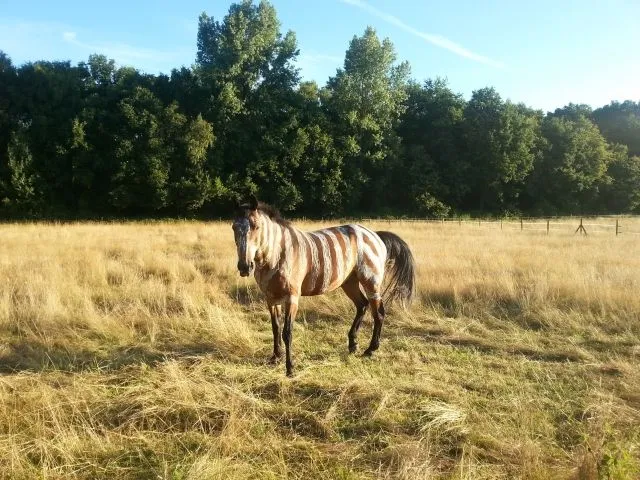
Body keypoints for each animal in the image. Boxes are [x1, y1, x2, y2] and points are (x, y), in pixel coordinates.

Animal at [232, 195, 416, 376]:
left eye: (256, 226)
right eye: (233, 227)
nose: (244, 267)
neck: (276, 255)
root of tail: (374, 235)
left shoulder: (292, 297)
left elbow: (287, 332)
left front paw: (290, 368)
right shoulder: (270, 298)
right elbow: (275, 328)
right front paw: (275, 357)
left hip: (371, 281)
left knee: (379, 313)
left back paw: (370, 350)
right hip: (349, 282)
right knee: (362, 305)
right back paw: (353, 344)